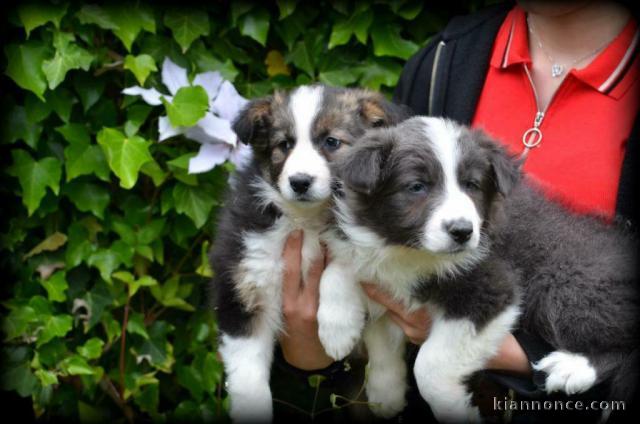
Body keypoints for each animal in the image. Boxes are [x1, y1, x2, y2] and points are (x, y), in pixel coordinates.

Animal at [211, 84, 410, 422]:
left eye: (332, 142)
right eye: (284, 144)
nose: (300, 181)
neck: (306, 219)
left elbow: (340, 266)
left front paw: (337, 329)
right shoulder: (242, 284)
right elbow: (247, 370)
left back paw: (387, 395)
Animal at [320, 115, 640, 420]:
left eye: (471, 185)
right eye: (416, 186)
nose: (462, 231)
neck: (410, 250)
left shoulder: (493, 290)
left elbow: (429, 365)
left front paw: (454, 408)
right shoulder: (380, 269)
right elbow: (342, 276)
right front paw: (375, 382)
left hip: (565, 283)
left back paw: (572, 367)